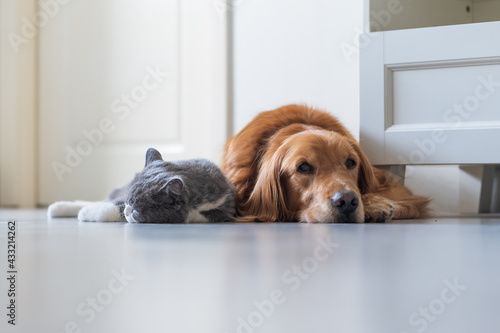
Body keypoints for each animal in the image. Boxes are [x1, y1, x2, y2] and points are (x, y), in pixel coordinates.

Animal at [48, 147, 236, 220]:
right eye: (129, 201)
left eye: (138, 207)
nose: (128, 209)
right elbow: (114, 206)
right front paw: (87, 212)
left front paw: (87, 213)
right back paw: (58, 208)